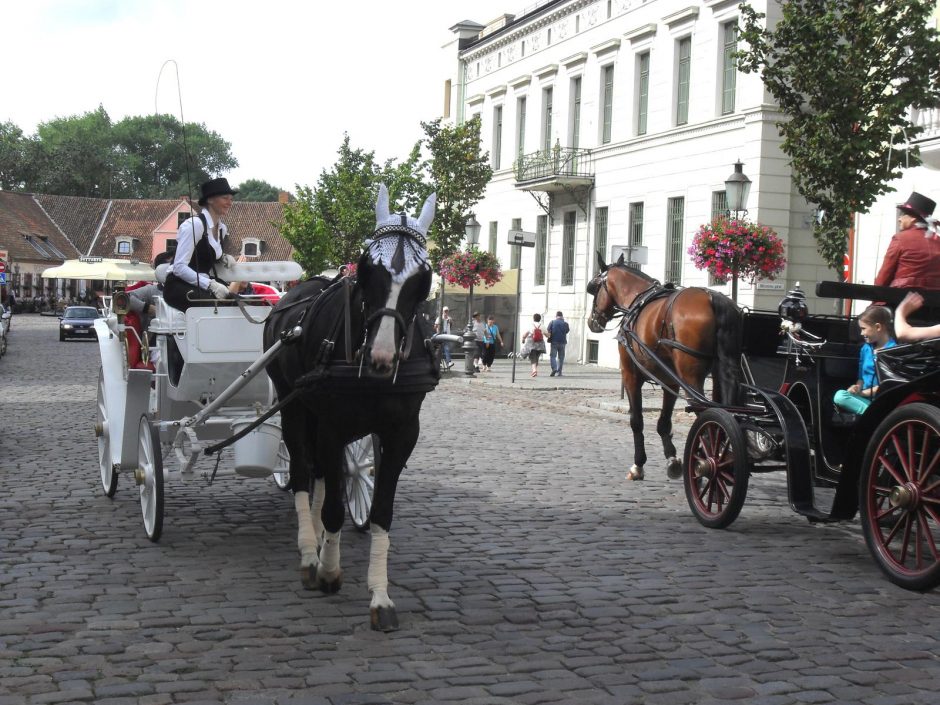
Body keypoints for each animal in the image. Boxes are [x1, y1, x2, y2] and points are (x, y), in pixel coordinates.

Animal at [260, 184, 436, 628]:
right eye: (368, 267)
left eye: (423, 278)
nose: (381, 357)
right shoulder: (332, 426)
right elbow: (335, 508)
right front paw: (327, 570)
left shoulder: (402, 435)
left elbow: (379, 512)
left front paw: (380, 596)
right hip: (293, 407)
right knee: (303, 473)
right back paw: (311, 552)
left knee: (323, 476)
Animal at [588, 256, 740, 482]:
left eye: (594, 288)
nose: (592, 321)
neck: (637, 301)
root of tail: (712, 298)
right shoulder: (670, 381)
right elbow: (664, 423)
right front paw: (673, 460)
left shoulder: (630, 375)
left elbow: (636, 420)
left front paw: (638, 465)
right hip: (720, 374)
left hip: (690, 377)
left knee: (705, 413)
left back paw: (706, 462)